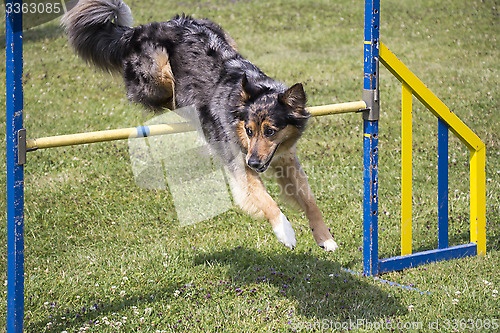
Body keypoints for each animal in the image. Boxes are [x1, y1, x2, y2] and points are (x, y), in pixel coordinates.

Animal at [61, 0, 336, 249]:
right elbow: (266, 201)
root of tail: (138, 30)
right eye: (249, 131)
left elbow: (309, 200)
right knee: (166, 97)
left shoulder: (286, 159)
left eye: (270, 131)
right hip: (158, 71)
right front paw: (285, 232)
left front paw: (325, 238)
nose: (254, 163)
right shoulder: (239, 166)